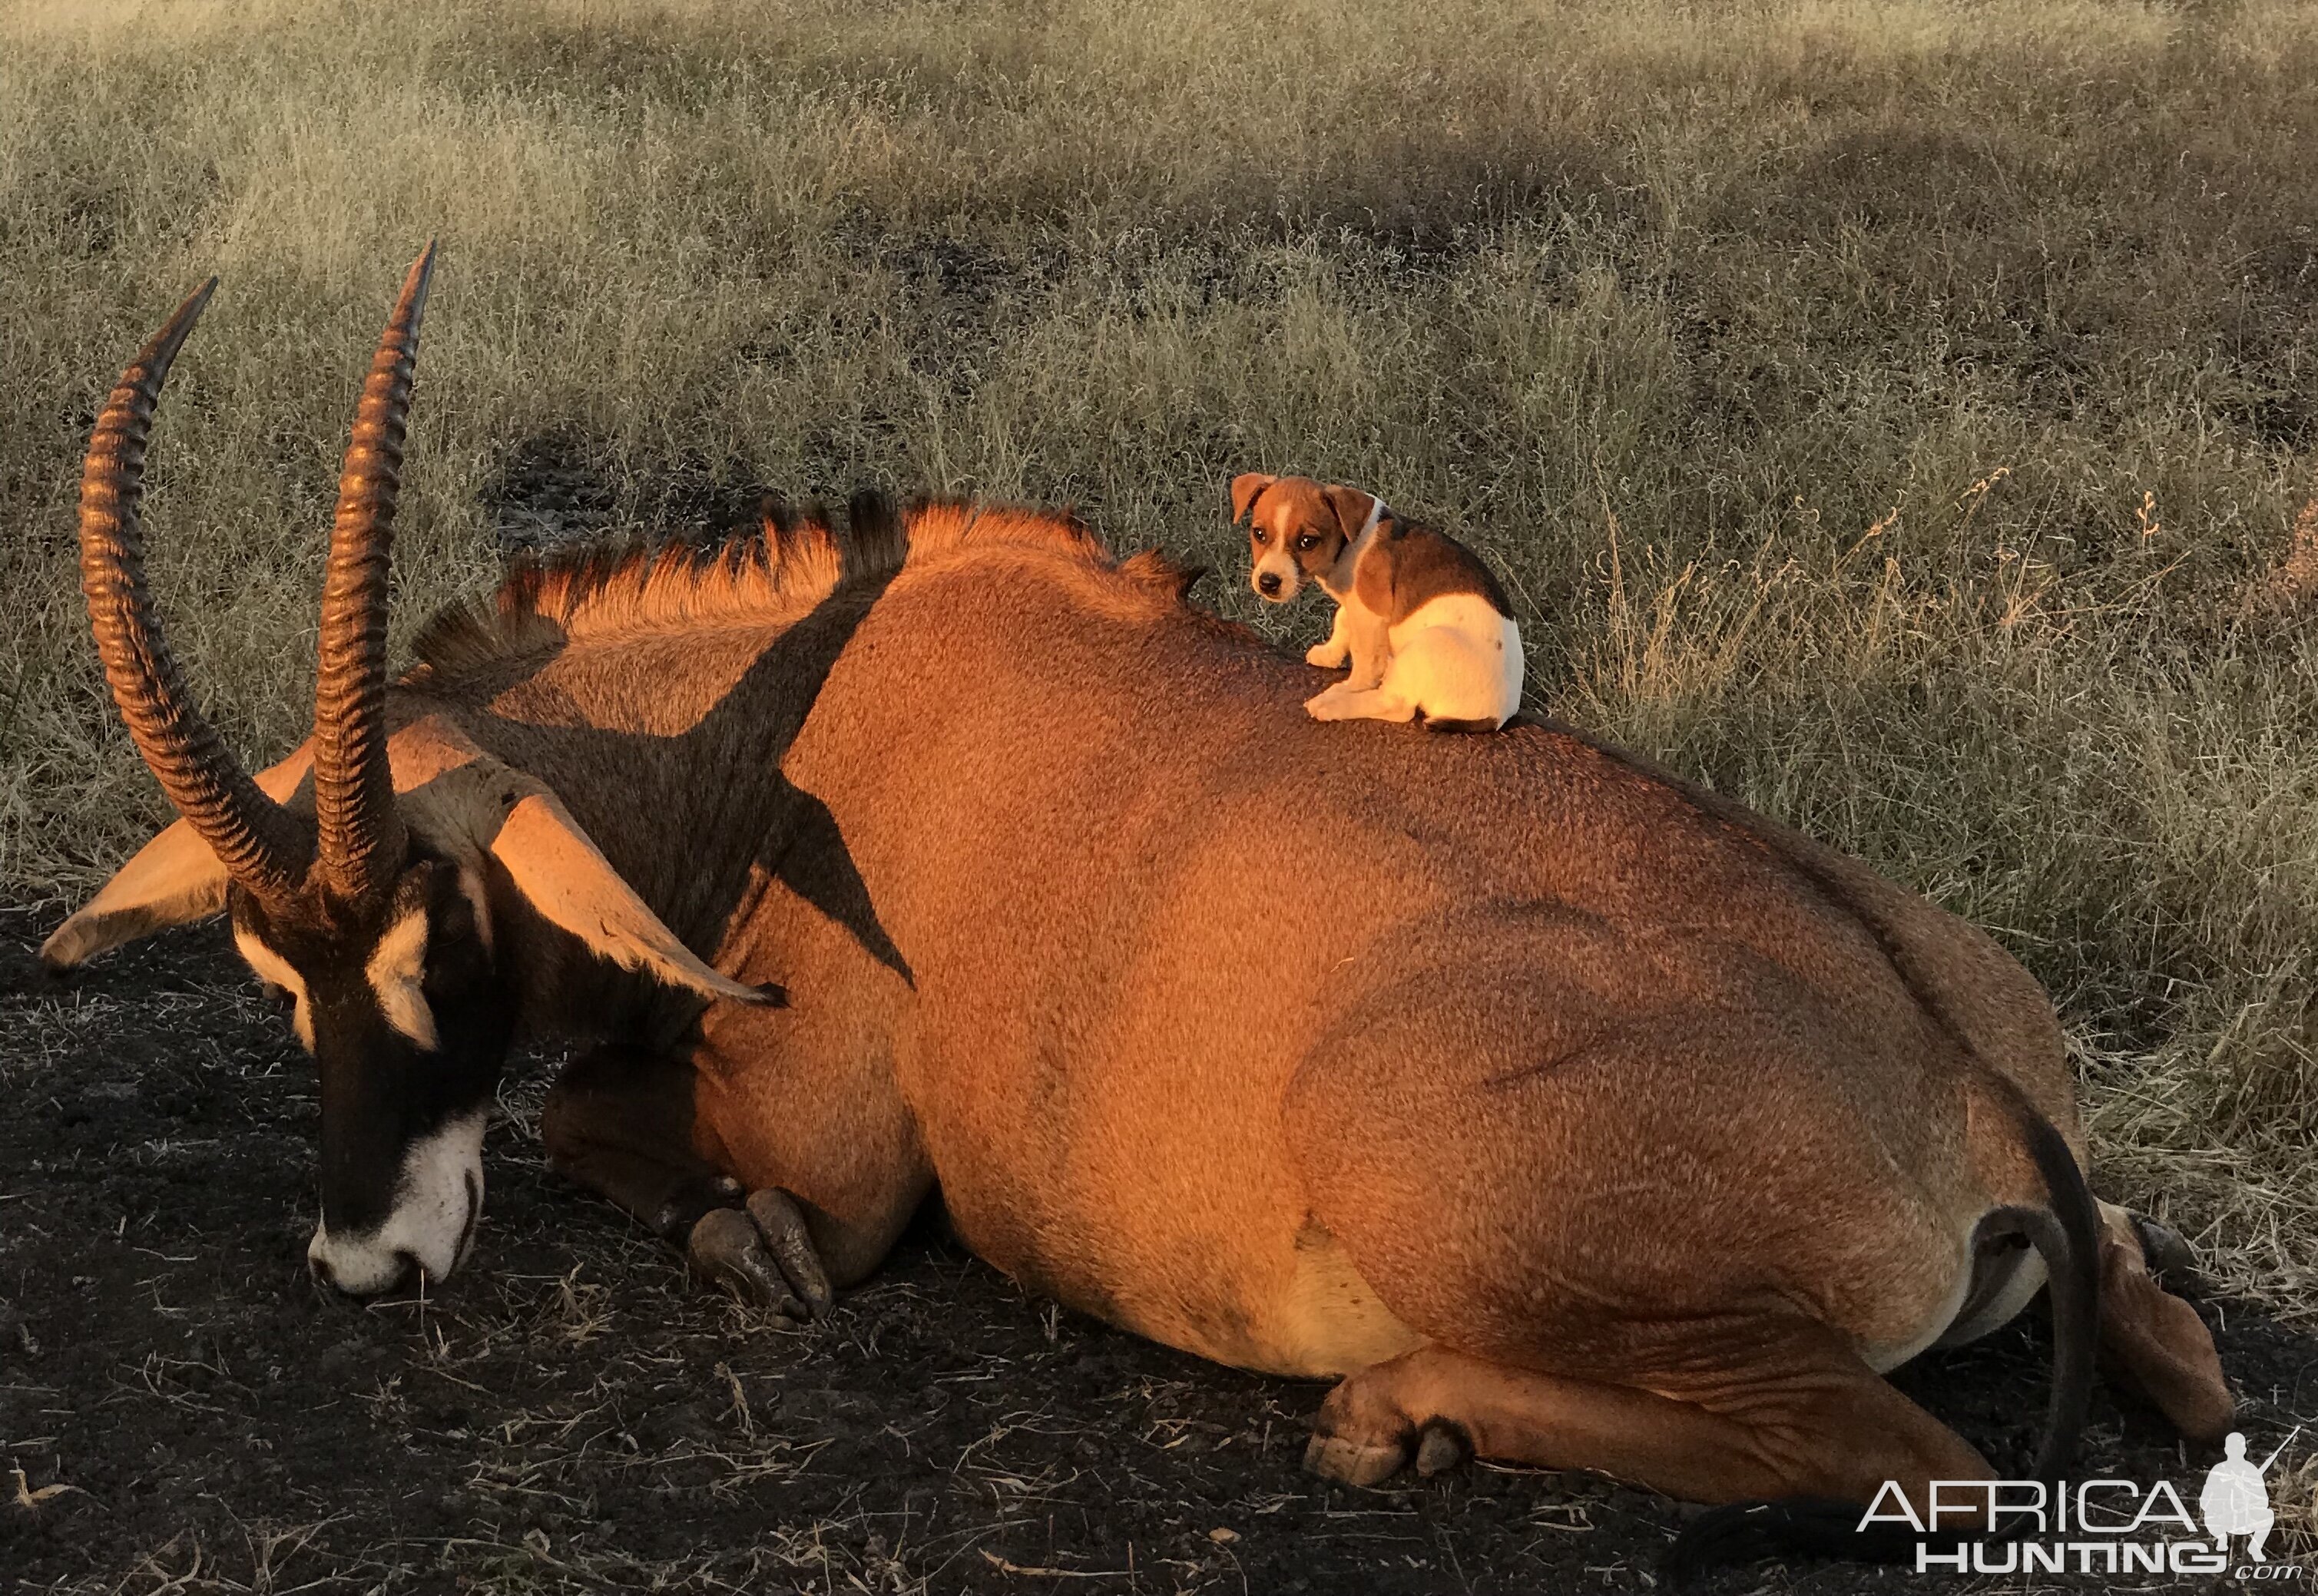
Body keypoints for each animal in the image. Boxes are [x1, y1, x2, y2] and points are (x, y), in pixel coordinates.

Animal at [1233, 470, 1520, 727]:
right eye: (1259, 533)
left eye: (1307, 542)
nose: (1268, 582)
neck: (1350, 544)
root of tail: (1498, 717)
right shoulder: (1356, 605)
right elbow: (1343, 621)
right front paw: (1329, 654)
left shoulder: (1371, 615)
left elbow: (1365, 662)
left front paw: (1351, 687)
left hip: (1426, 644)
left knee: (1397, 706)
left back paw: (1332, 704)